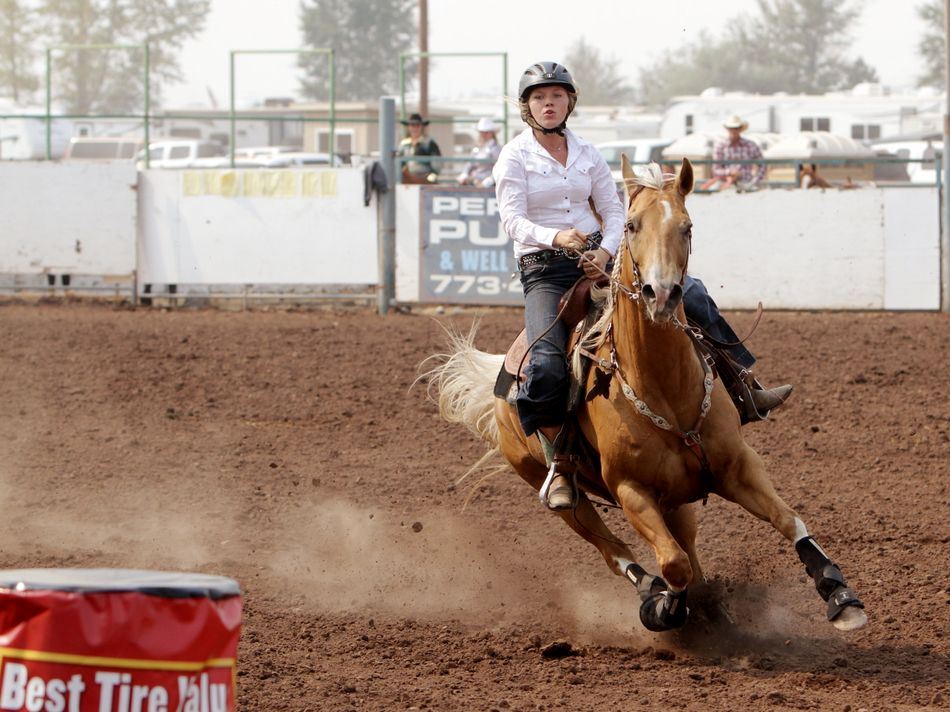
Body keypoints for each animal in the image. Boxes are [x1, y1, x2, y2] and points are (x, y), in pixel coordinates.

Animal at [424, 156, 868, 634]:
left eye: (687, 227)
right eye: (632, 225)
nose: (662, 293)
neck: (666, 390)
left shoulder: (738, 465)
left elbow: (787, 519)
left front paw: (840, 595)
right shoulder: (630, 489)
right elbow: (672, 564)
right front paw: (663, 607)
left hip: (677, 499)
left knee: (686, 546)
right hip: (559, 495)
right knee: (614, 550)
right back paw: (656, 592)